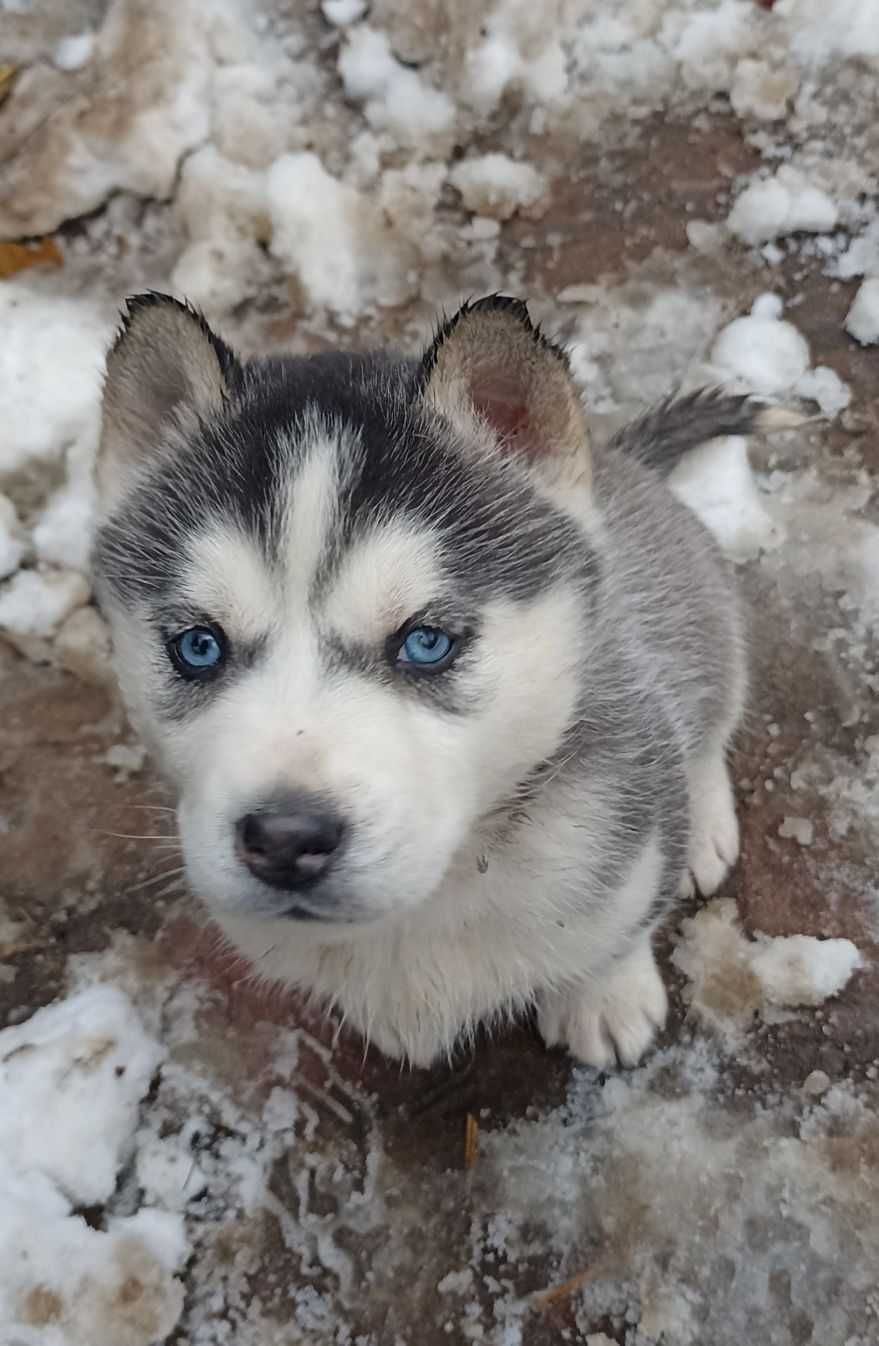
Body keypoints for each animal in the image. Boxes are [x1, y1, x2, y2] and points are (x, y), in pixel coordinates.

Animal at [92, 297, 769, 1071]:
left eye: (425, 641)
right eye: (198, 646)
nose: (286, 839)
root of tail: (621, 461)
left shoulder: (632, 819)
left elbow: (617, 927)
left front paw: (606, 997)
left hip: (699, 616)